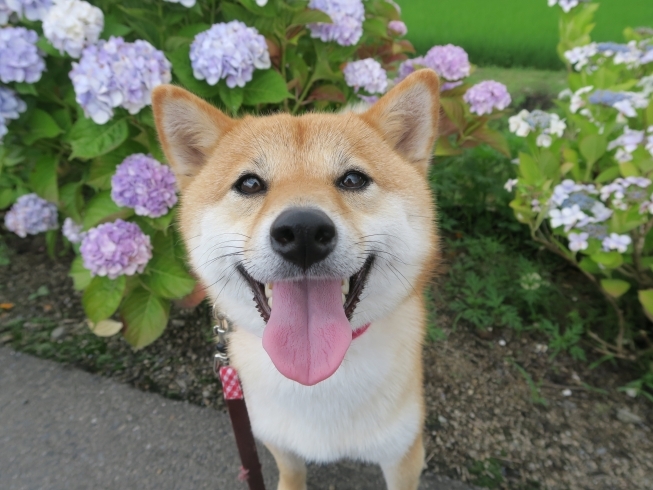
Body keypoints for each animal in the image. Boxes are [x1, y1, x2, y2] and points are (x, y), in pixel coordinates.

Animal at [150, 70, 440, 490]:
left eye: (353, 179)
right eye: (250, 184)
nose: (303, 230)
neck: (315, 379)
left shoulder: (403, 454)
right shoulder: (276, 438)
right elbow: (291, 472)